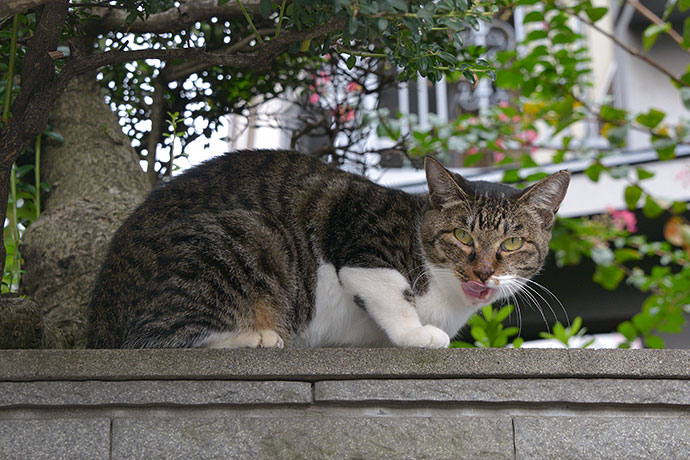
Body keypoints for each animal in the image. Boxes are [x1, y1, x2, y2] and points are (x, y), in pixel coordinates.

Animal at [86, 151, 568, 348]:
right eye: (463, 237)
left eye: (512, 243)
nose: (483, 271)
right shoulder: (359, 232)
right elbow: (390, 291)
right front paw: (416, 333)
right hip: (244, 236)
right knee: (153, 337)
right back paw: (259, 336)